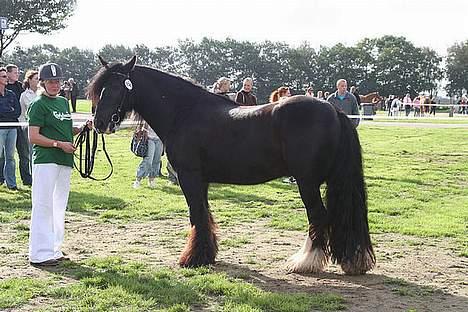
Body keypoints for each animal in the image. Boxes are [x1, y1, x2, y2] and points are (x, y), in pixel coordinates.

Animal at [90, 55, 376, 272]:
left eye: (116, 88)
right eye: (100, 89)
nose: (99, 123)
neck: (184, 112)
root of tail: (334, 111)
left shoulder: (189, 176)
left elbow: (197, 215)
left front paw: (193, 258)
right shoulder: (201, 180)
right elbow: (204, 215)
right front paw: (206, 255)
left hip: (307, 182)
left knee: (318, 216)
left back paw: (305, 262)